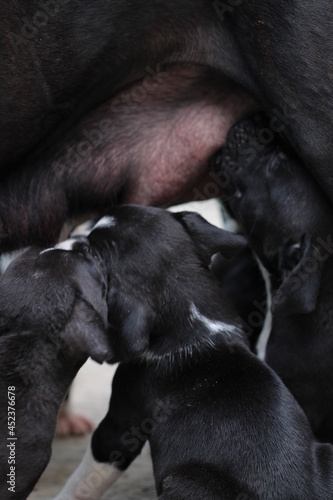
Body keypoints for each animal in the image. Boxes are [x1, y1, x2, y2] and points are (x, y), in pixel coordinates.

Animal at [55, 205, 332, 498]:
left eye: (90, 251)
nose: (71, 235)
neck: (191, 315)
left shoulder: (120, 425)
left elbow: (84, 479)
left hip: (184, 480)